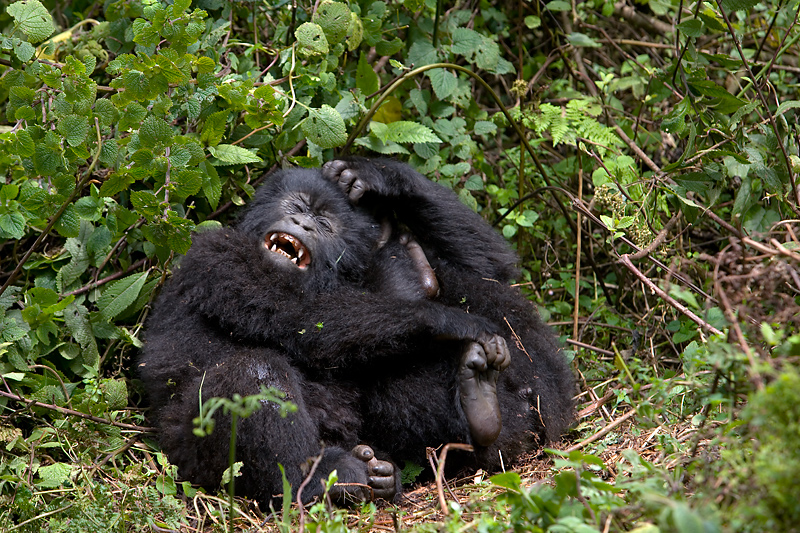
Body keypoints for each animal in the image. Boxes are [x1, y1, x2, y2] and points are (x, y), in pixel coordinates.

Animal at [139, 159, 576, 508]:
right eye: (296, 206)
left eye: (324, 224)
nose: (301, 223)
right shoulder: (214, 254)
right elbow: (304, 317)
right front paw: (448, 319)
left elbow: (493, 266)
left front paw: (379, 177)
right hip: (186, 457)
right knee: (253, 373)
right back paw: (315, 481)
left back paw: (475, 414)